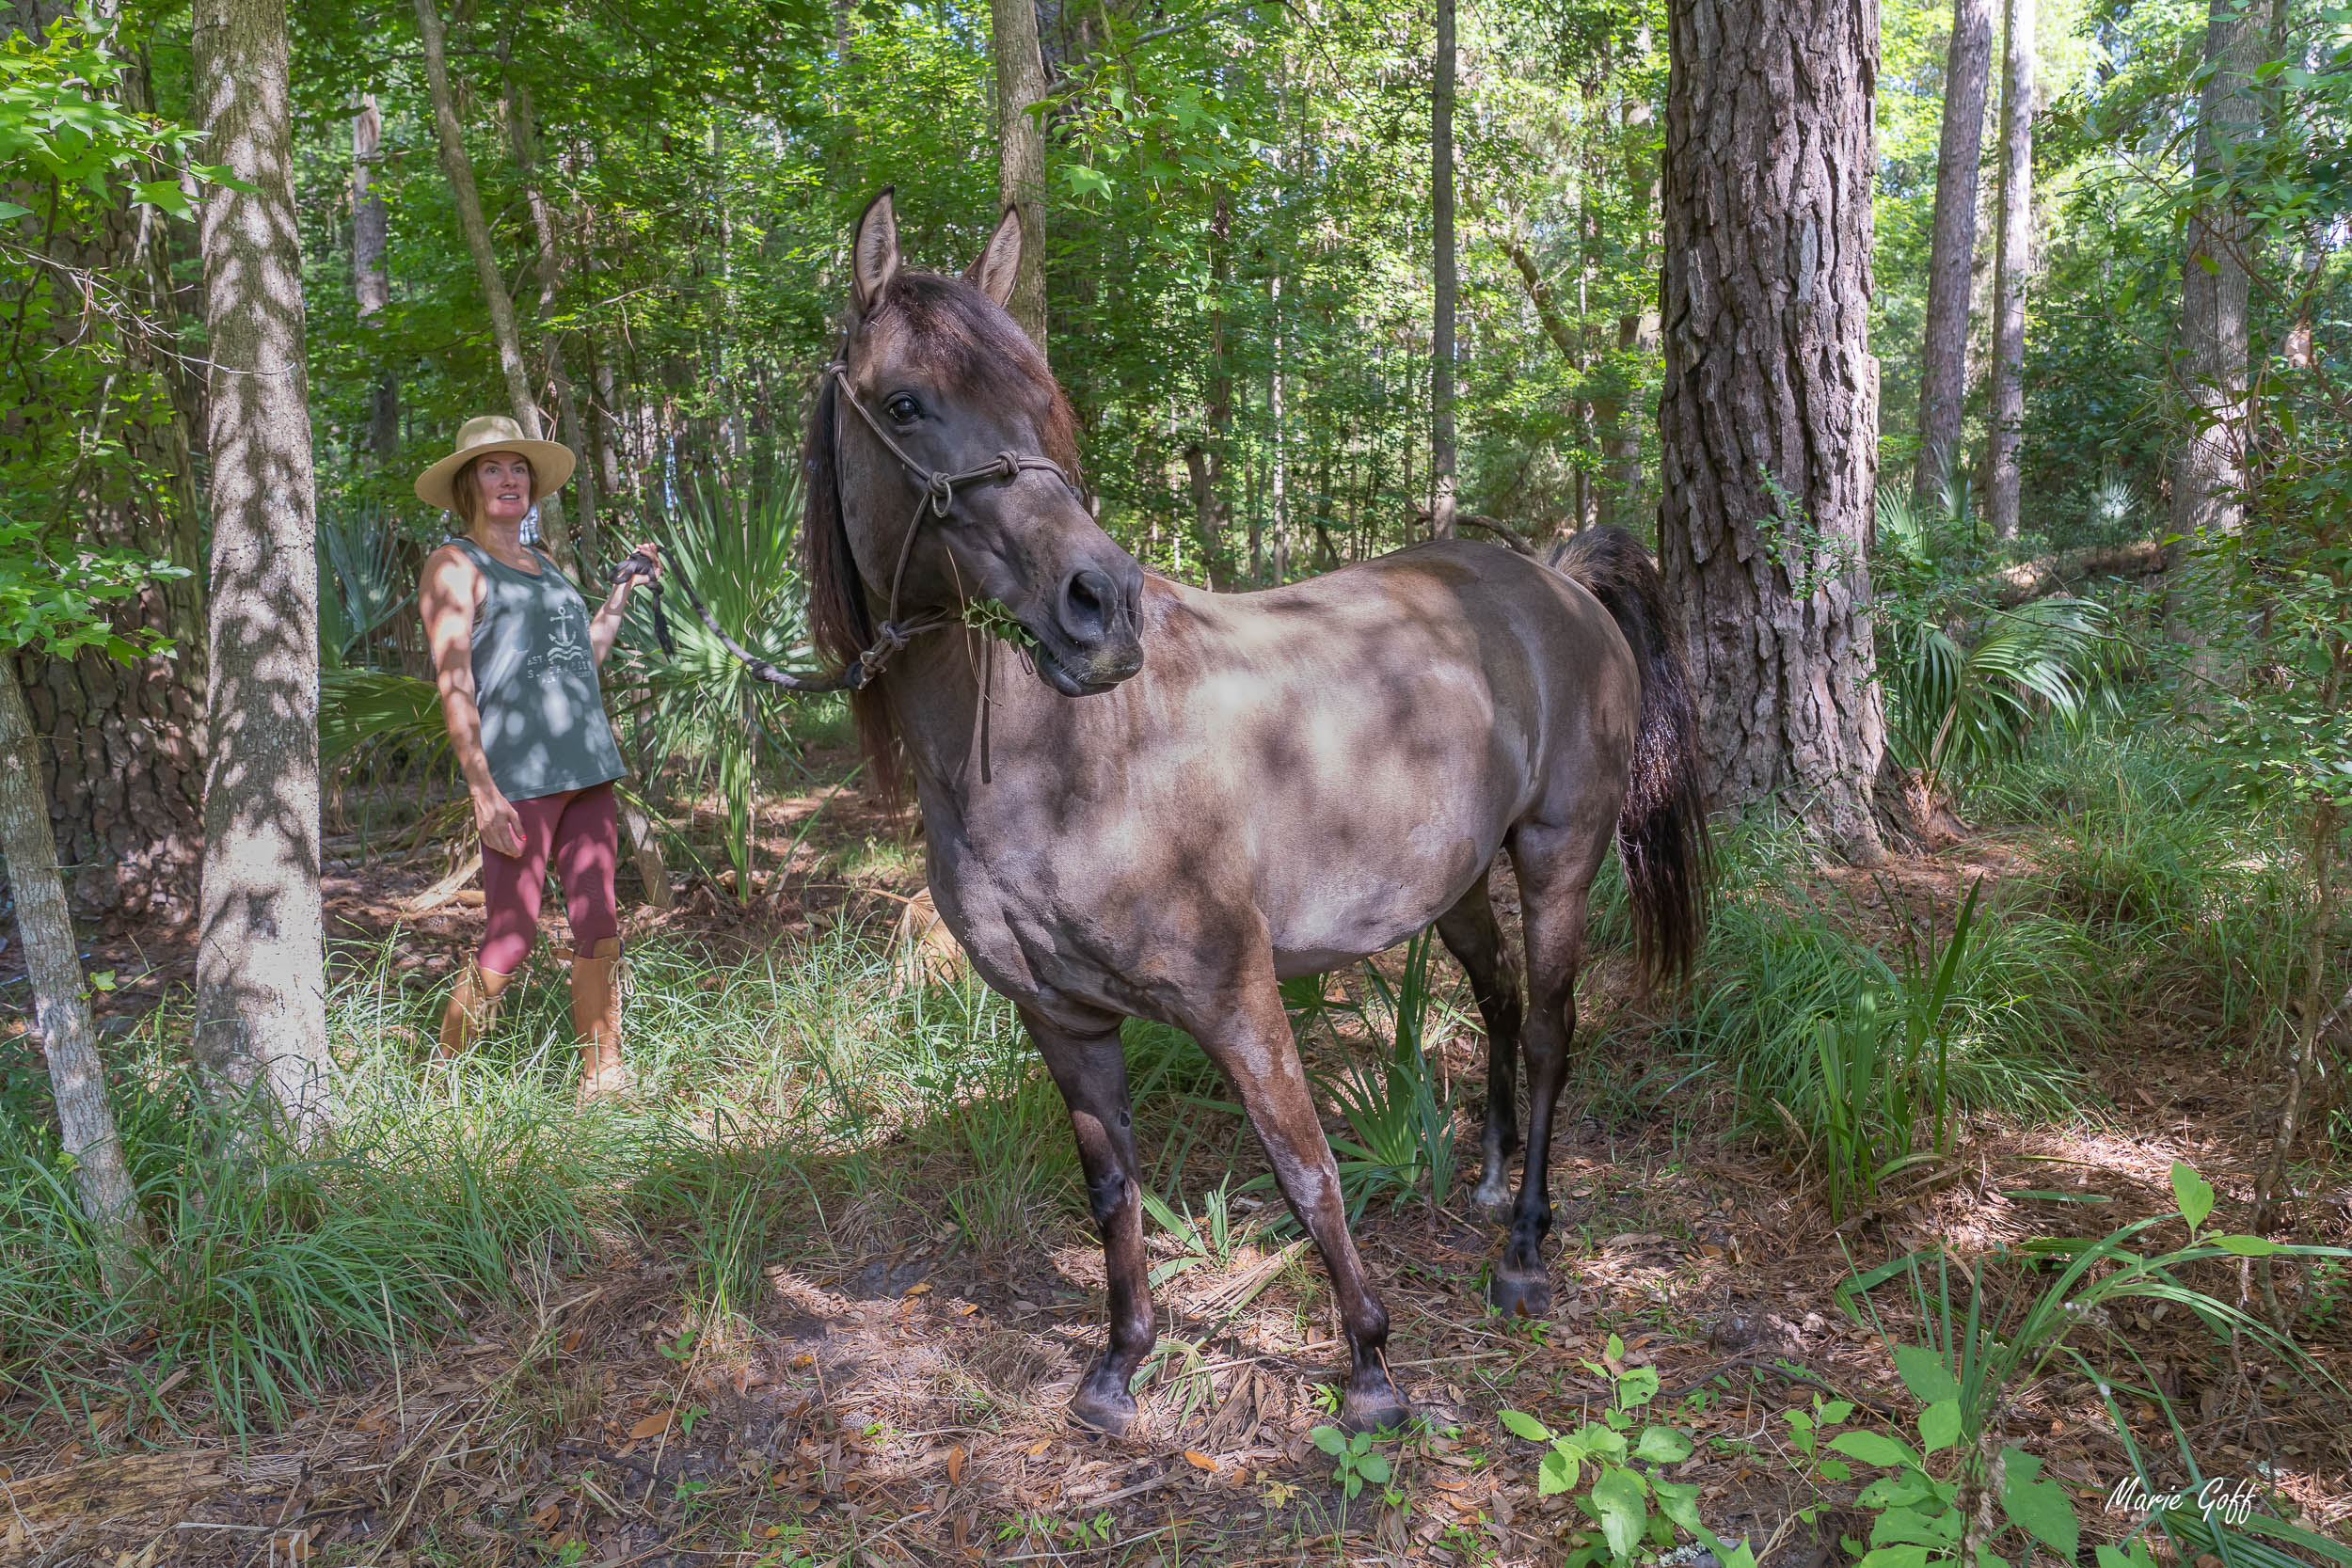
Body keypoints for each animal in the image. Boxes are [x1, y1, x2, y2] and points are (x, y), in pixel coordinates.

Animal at [796, 190, 1710, 1436]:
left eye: (1038, 398)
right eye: (903, 402)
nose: (1101, 606)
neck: (1067, 761)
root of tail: (1560, 578)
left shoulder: (1236, 995)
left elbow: (1305, 1167)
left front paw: (1370, 1366)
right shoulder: (1063, 1020)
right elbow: (1112, 1188)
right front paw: (1118, 1365)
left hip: (1556, 857)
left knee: (1554, 1031)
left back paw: (1524, 1247)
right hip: (1456, 883)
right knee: (1502, 1002)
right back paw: (1484, 1180)